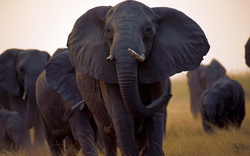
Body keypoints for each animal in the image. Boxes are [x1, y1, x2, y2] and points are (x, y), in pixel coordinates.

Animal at [53, 0, 211, 155]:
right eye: (108, 31)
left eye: (148, 30)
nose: (168, 95)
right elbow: (121, 115)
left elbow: (155, 115)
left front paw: (152, 152)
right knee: (106, 135)